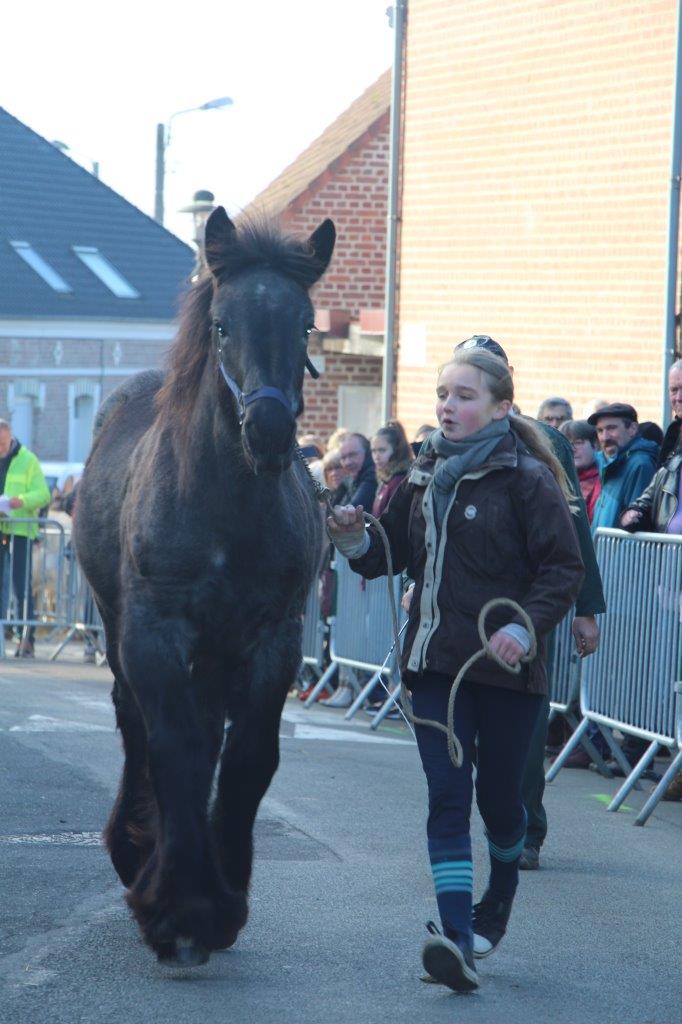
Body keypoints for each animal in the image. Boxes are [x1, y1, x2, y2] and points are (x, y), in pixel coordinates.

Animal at [73, 209, 333, 966]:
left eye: (306, 326)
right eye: (221, 323)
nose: (270, 430)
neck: (226, 508)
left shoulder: (273, 640)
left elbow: (247, 758)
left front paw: (221, 898)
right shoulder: (155, 635)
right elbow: (175, 749)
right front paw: (179, 908)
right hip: (118, 633)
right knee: (137, 727)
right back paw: (135, 850)